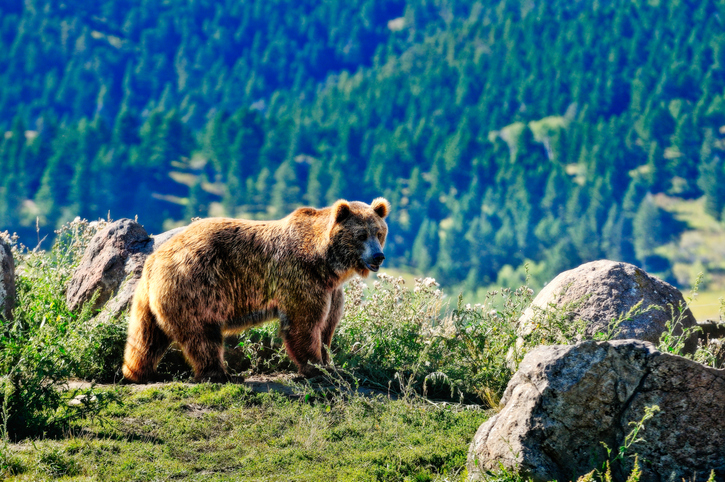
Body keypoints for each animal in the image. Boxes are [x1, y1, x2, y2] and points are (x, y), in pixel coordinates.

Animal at [122, 198, 391, 383]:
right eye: (361, 235)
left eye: (379, 233)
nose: (378, 256)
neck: (326, 262)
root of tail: (154, 259)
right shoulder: (300, 278)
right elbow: (303, 324)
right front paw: (316, 367)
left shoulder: (331, 290)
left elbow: (327, 327)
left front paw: (330, 364)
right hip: (195, 287)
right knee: (203, 336)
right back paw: (220, 374)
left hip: (155, 299)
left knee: (147, 337)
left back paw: (137, 372)